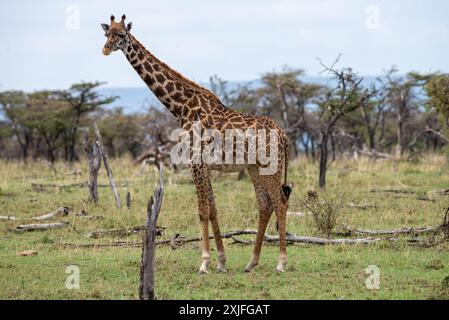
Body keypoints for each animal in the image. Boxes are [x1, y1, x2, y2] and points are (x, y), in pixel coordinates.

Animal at [100, 15, 292, 274]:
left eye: (122, 35)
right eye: (106, 33)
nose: (105, 49)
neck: (181, 107)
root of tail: (284, 136)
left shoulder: (196, 162)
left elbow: (202, 211)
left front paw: (204, 262)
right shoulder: (204, 165)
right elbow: (212, 209)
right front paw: (221, 261)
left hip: (271, 167)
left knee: (280, 203)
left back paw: (281, 262)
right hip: (254, 168)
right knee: (265, 205)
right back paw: (252, 262)